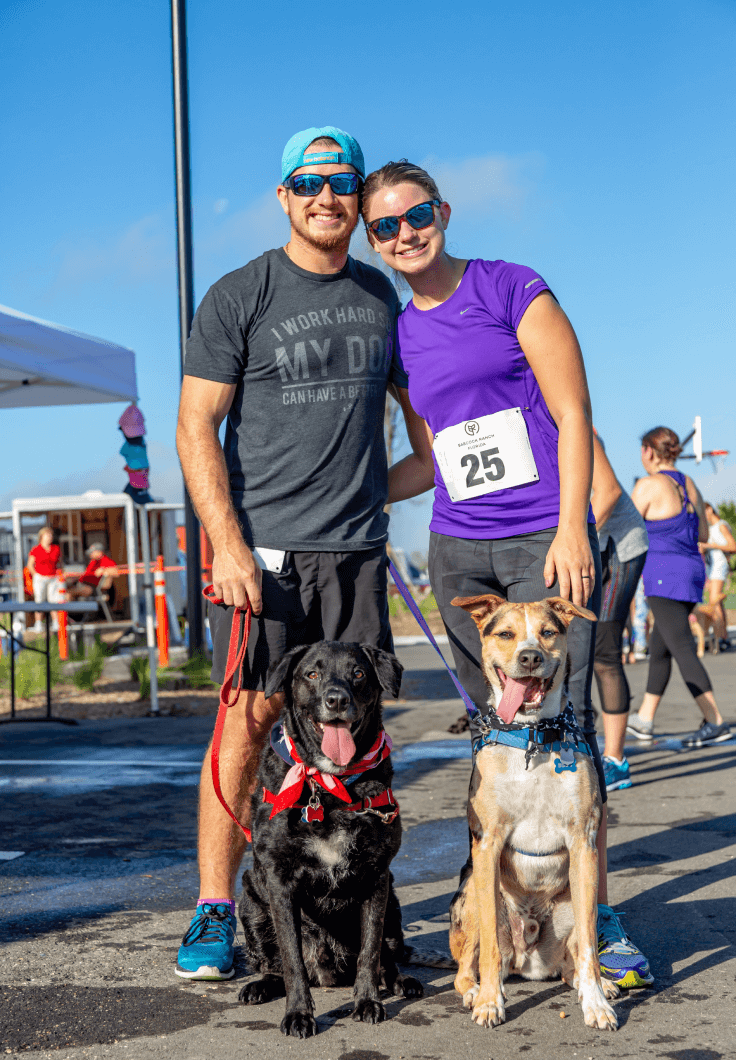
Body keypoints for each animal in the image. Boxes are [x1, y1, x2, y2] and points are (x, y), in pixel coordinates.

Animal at [239, 640, 424, 1038]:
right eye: (312, 673)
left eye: (358, 673)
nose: (336, 699)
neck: (328, 785)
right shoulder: (279, 881)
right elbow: (291, 959)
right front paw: (298, 1014)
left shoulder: (376, 877)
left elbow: (370, 952)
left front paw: (367, 1002)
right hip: (250, 902)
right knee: (274, 965)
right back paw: (260, 985)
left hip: (394, 905)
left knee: (388, 958)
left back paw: (403, 982)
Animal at [449, 597, 623, 1034]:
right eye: (505, 634)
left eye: (548, 632)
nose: (530, 657)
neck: (533, 738)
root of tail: (527, 961)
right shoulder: (488, 847)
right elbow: (490, 950)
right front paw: (490, 1002)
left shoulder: (583, 845)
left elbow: (590, 950)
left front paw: (596, 1004)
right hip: (473, 895)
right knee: (467, 967)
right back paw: (475, 990)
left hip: (574, 903)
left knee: (574, 961)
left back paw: (597, 985)